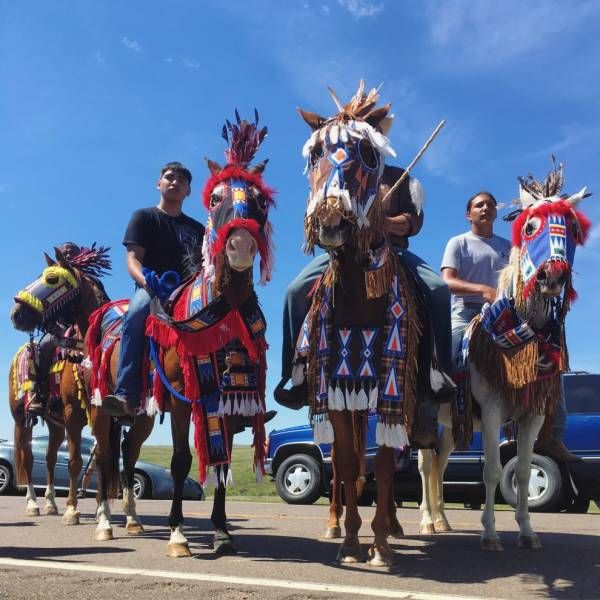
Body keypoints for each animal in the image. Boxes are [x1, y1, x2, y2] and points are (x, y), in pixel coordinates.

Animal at [292, 82, 426, 564]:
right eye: (314, 154)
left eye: (369, 153)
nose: (332, 219)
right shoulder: (334, 389)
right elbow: (349, 465)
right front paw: (350, 540)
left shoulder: (392, 388)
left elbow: (384, 465)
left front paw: (380, 543)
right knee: (341, 464)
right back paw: (334, 523)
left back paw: (394, 525)